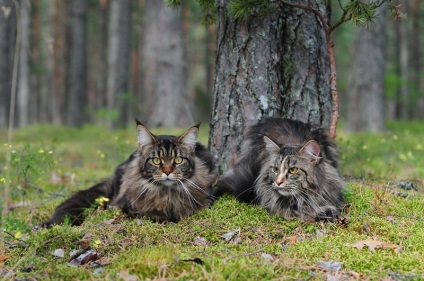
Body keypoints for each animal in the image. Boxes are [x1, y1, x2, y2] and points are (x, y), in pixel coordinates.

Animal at [41, 119, 215, 226]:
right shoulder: (125, 207)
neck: (167, 196)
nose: (167, 172)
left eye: (178, 160)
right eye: (156, 161)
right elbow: (149, 214)